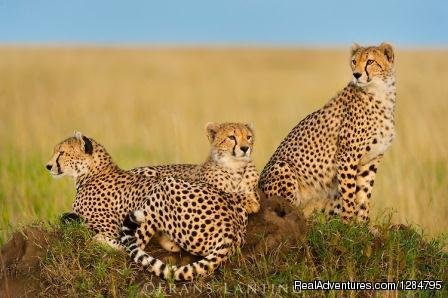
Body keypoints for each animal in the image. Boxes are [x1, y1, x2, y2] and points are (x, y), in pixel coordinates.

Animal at [46, 132, 248, 280]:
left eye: (61, 152)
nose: (48, 166)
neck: (91, 172)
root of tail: (233, 229)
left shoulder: (111, 227)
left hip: (163, 186)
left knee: (131, 245)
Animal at [260, 43, 396, 222]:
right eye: (354, 61)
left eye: (370, 61)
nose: (356, 75)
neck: (381, 92)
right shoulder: (347, 156)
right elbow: (349, 192)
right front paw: (347, 222)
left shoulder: (371, 159)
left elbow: (364, 194)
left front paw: (363, 223)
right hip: (282, 167)